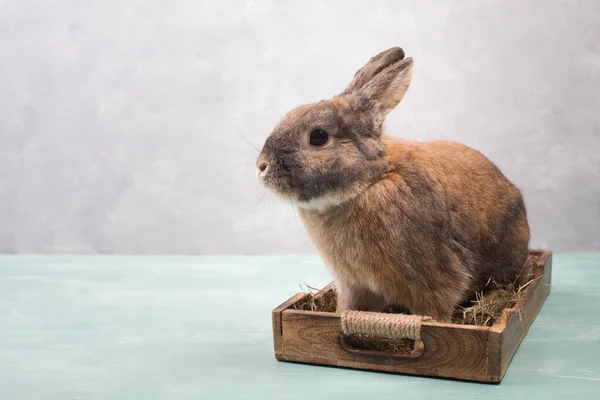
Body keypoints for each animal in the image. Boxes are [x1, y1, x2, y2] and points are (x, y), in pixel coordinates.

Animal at [256, 47, 528, 322]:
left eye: (318, 137)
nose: (261, 165)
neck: (371, 181)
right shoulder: (353, 284)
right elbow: (348, 307)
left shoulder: (434, 281)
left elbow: (436, 310)